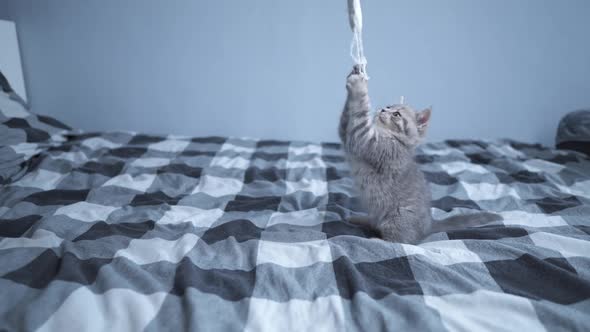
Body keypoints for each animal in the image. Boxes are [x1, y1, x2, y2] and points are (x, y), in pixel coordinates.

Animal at [340, 67, 432, 244]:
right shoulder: (348, 135)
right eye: (388, 106)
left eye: (396, 114)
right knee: (374, 222)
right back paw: (358, 219)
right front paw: (354, 73)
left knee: (397, 242)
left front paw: (359, 86)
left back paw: (374, 240)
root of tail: (427, 230)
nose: (383, 109)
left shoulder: (367, 140)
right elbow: (346, 119)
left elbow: (360, 113)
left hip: (397, 219)